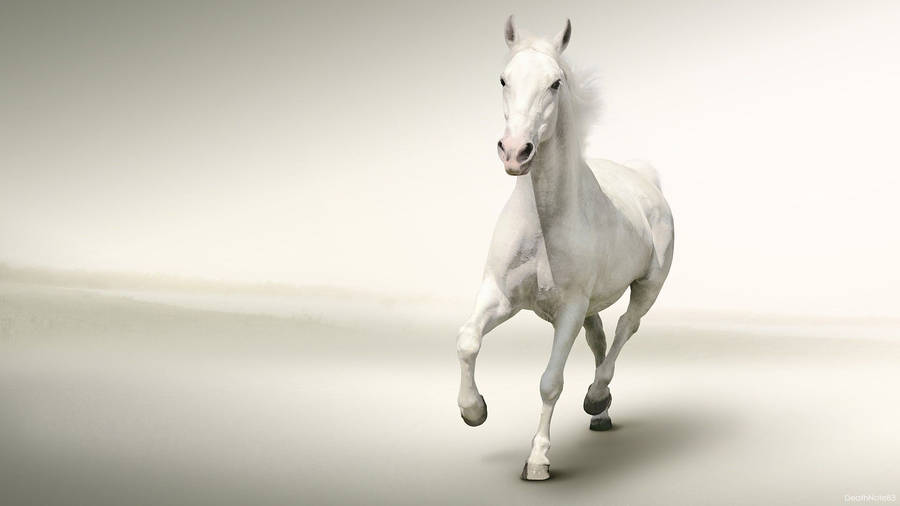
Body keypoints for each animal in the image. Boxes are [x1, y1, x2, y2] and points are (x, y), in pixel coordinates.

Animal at [455, 16, 675, 481]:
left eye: (555, 83)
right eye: (503, 78)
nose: (515, 152)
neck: (543, 223)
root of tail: (644, 178)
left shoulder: (569, 309)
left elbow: (550, 381)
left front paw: (537, 460)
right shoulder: (500, 295)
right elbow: (467, 340)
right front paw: (473, 410)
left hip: (648, 287)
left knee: (626, 327)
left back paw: (597, 397)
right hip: (592, 305)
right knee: (600, 337)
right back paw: (601, 414)